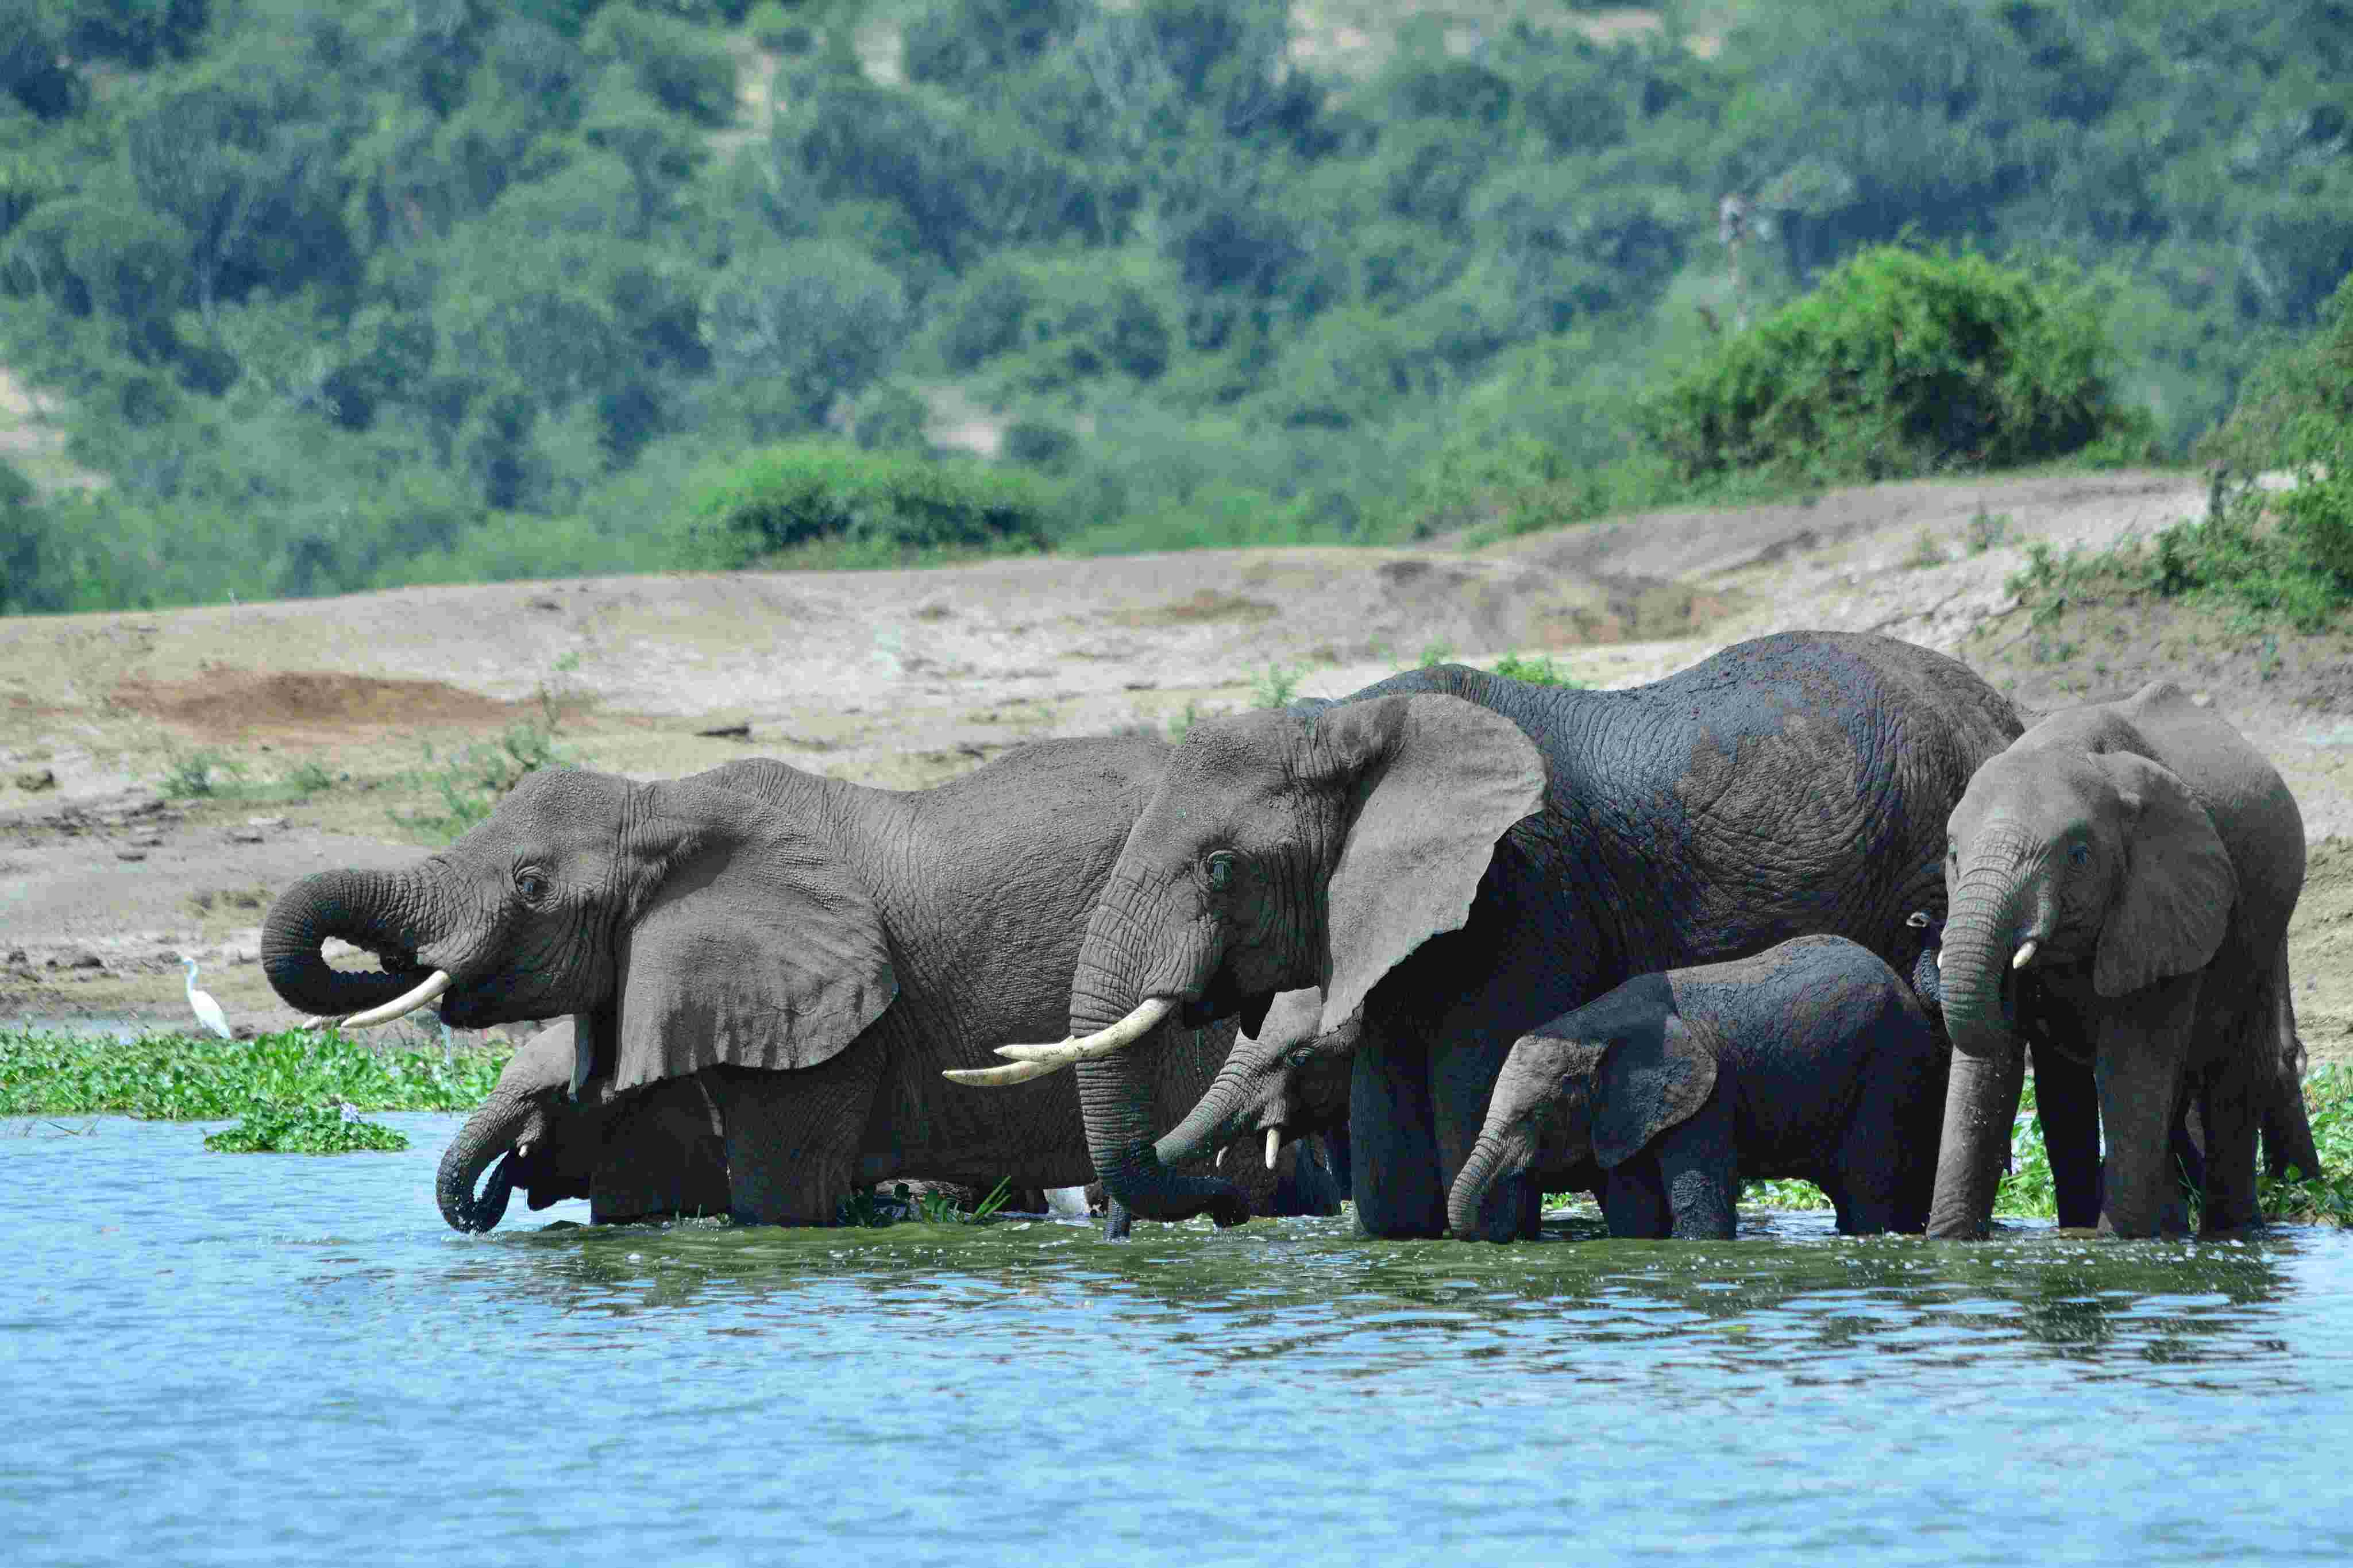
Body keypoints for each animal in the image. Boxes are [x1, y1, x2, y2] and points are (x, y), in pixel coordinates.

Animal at [1449, 935, 1946, 1239]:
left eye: (1534, 1117)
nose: (1495, 1235)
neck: (1592, 1027)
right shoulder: (1628, 1112)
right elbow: (1634, 1211)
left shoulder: (1702, 1097)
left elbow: (1697, 1203)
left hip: (1889, 1068)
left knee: (1868, 1187)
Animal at [1929, 681, 2308, 1239]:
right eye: (1954, 856)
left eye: (2079, 858)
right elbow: (1987, 1073)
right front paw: (1948, 1244)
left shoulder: (2165, 905)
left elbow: (2131, 1064)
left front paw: (2116, 1245)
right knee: (2077, 1094)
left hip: (2264, 931)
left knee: (2233, 1076)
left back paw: (2229, 1231)